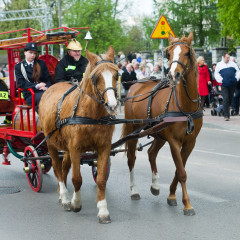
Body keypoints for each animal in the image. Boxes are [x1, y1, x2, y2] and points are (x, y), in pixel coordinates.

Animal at [38, 45, 119, 223]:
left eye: (116, 74)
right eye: (96, 77)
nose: (112, 105)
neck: (91, 115)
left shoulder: (104, 147)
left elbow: (101, 179)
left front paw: (103, 210)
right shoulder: (75, 148)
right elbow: (77, 178)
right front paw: (75, 202)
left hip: (66, 147)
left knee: (64, 167)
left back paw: (62, 194)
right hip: (50, 143)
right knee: (57, 168)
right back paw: (65, 197)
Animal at [122, 32, 202, 216]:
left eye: (186, 53)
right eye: (169, 54)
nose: (173, 75)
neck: (186, 107)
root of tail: (135, 86)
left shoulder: (190, 142)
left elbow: (179, 170)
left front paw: (172, 195)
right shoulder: (174, 141)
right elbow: (182, 172)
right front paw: (187, 204)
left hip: (158, 133)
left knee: (151, 153)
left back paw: (155, 186)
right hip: (133, 130)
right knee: (131, 159)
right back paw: (134, 190)